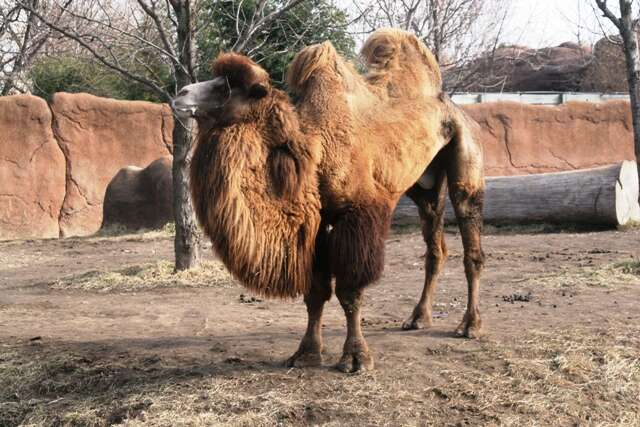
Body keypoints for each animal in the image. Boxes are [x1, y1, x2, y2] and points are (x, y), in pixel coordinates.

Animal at [171, 28, 484, 372]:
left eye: (229, 88)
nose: (181, 94)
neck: (313, 154)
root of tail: (455, 108)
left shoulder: (357, 215)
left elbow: (349, 291)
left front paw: (356, 358)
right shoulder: (316, 225)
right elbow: (316, 292)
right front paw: (306, 352)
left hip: (466, 159)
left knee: (470, 242)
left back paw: (470, 325)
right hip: (423, 186)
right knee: (435, 245)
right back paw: (418, 317)